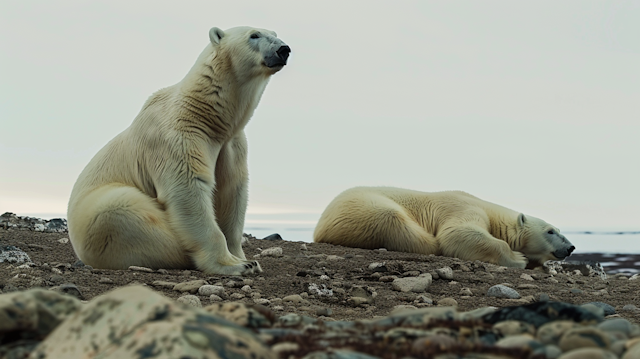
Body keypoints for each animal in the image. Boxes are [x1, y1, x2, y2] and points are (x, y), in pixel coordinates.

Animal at [66, 26, 292, 278]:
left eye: (274, 33)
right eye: (254, 35)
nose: (283, 49)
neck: (205, 113)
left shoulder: (232, 144)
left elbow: (232, 190)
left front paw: (246, 259)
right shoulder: (177, 137)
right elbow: (188, 188)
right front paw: (235, 264)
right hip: (96, 217)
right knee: (122, 208)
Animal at [314, 188, 576, 268]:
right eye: (551, 231)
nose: (572, 247)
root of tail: (320, 226)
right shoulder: (464, 207)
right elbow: (456, 233)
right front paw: (518, 258)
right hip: (366, 208)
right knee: (396, 221)